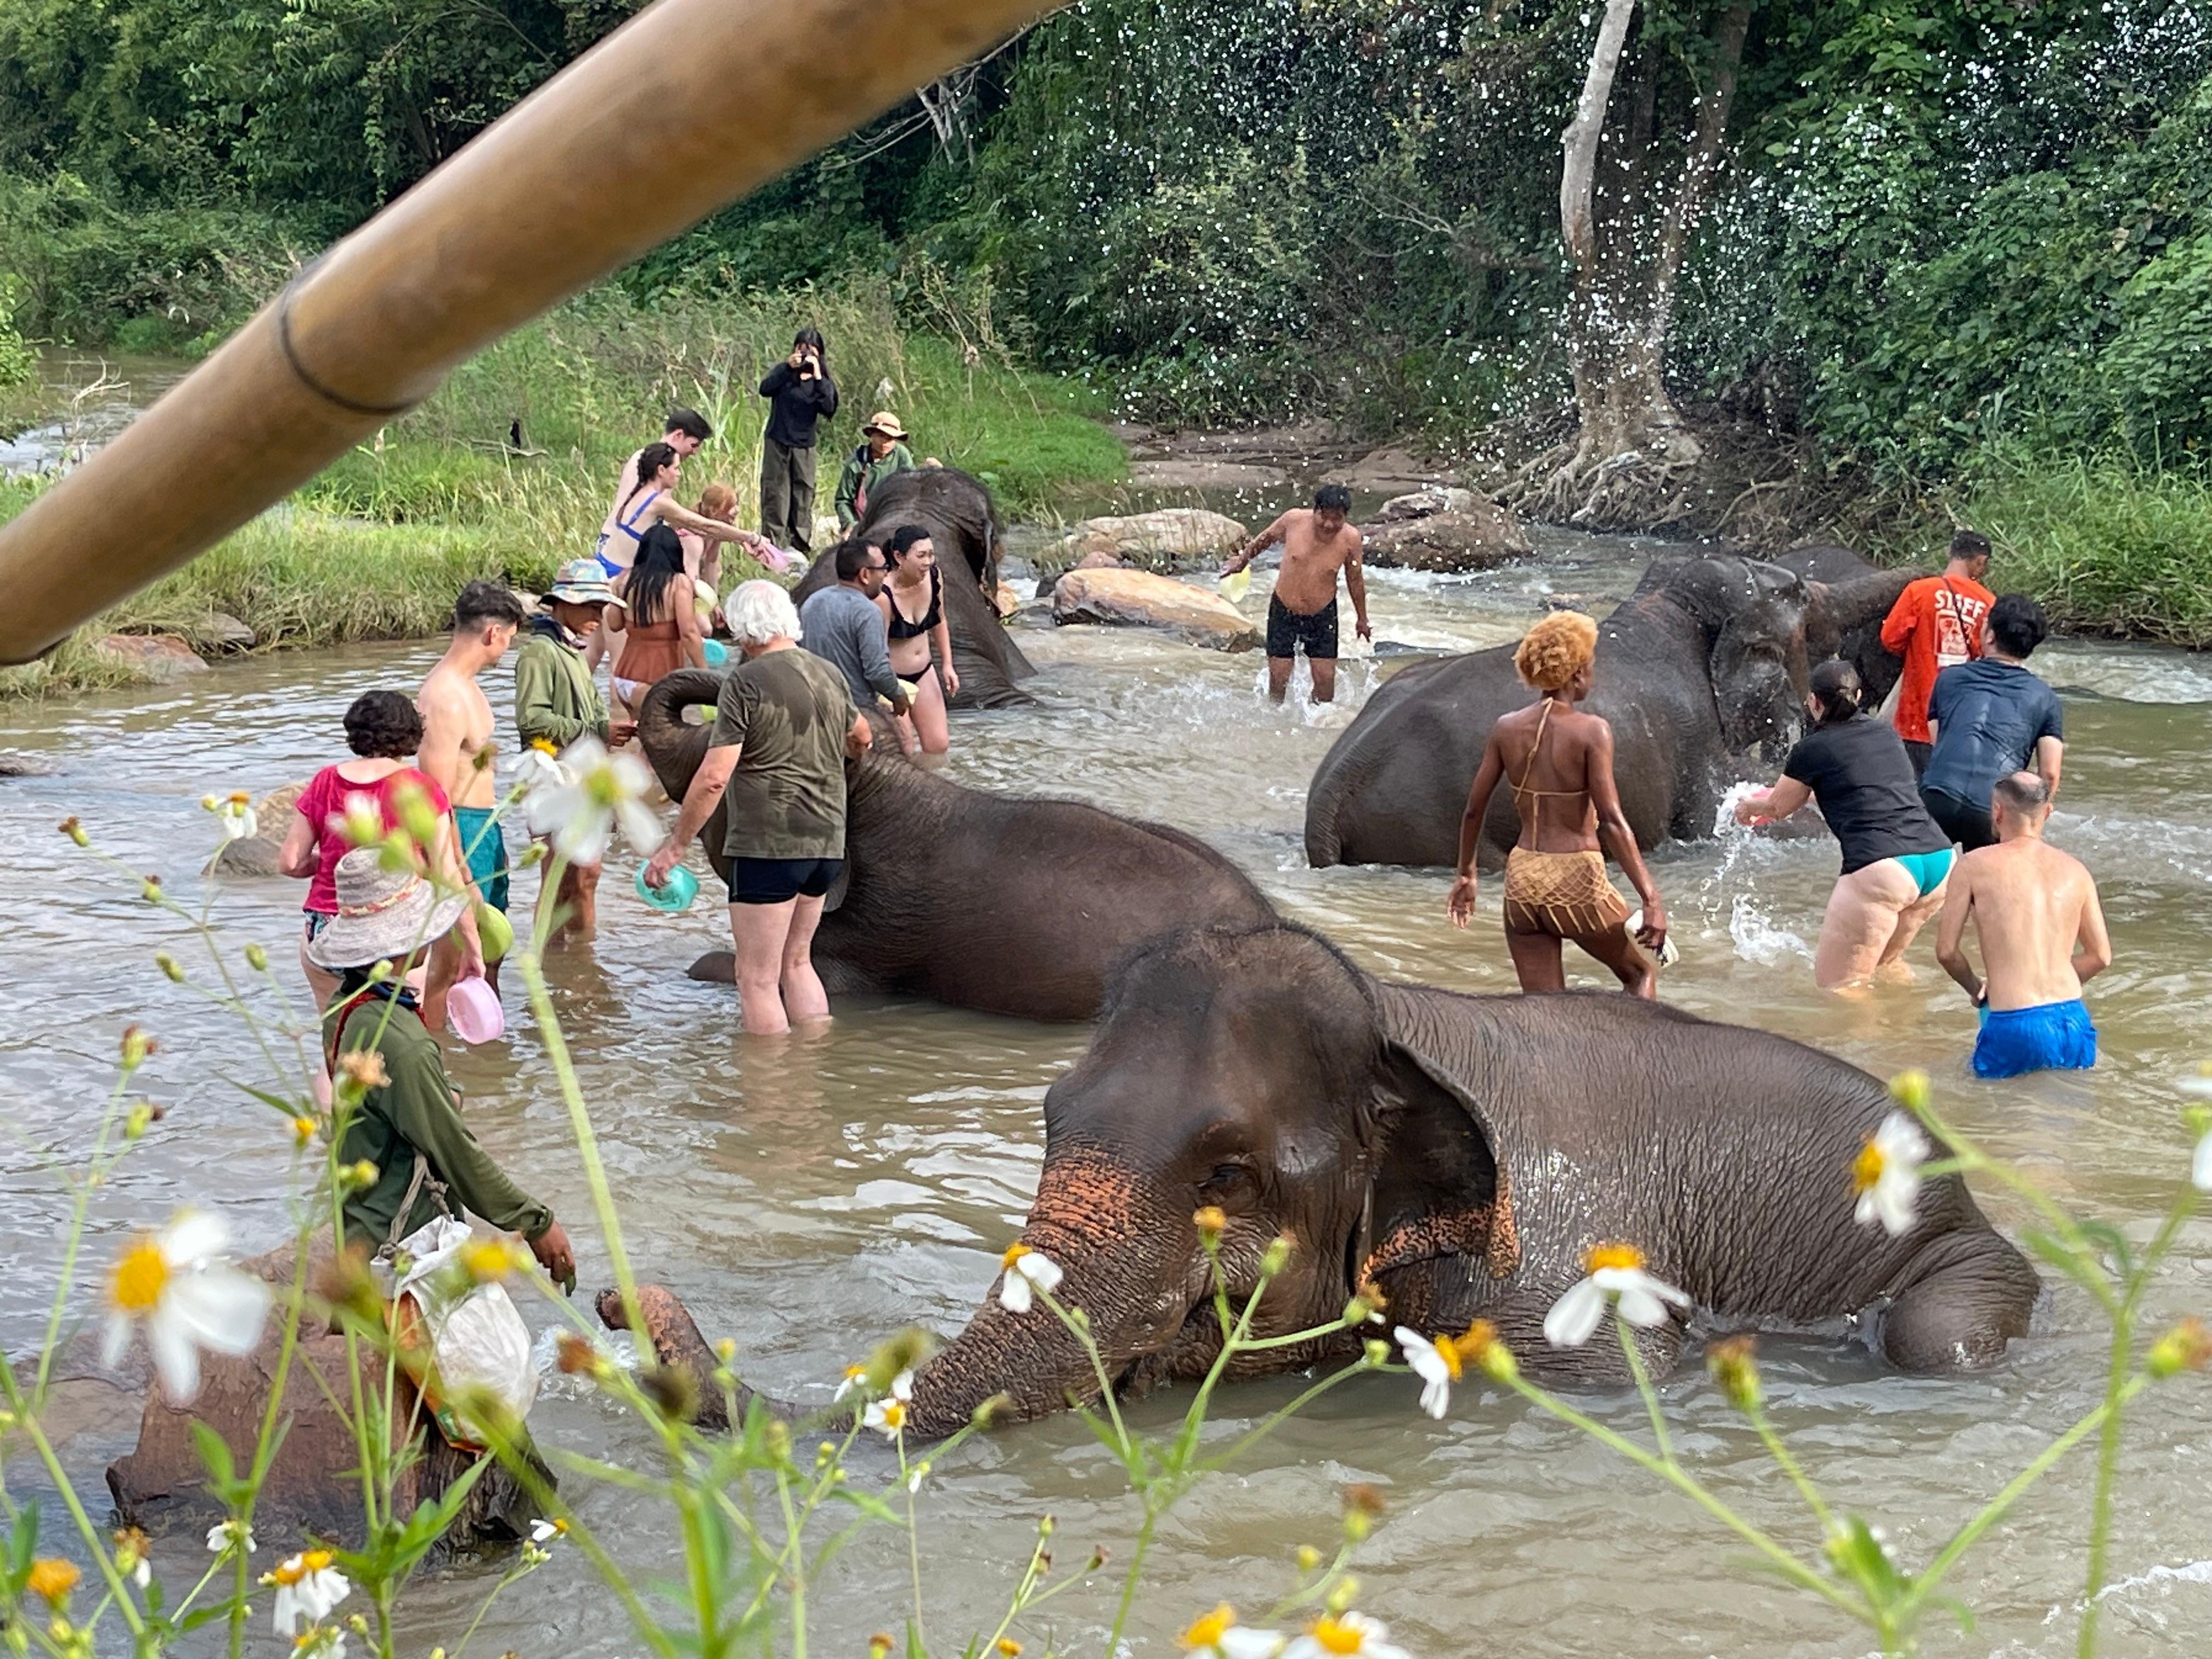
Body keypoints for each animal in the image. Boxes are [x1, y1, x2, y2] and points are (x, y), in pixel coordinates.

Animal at [607, 923, 2038, 1435]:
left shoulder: (1558, 1305)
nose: (623, 1299)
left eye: (1230, 1172)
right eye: (1050, 1118)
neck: (1402, 1026)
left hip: (1964, 1267)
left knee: (1940, 1332)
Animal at [1305, 554, 1819, 869]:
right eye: (1799, 603)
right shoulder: (1696, 743)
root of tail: (1331, 792)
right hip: (1435, 826)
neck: (1667, 606)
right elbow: (1705, 821)